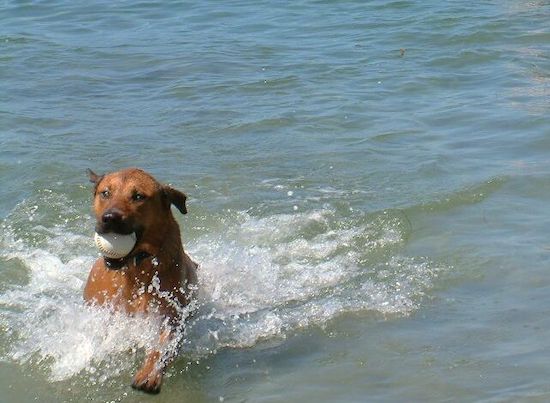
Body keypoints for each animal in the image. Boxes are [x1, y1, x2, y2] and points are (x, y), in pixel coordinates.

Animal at [83, 167, 198, 394]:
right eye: (105, 193)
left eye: (138, 197)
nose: (109, 218)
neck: (138, 267)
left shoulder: (172, 314)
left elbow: (163, 344)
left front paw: (150, 374)